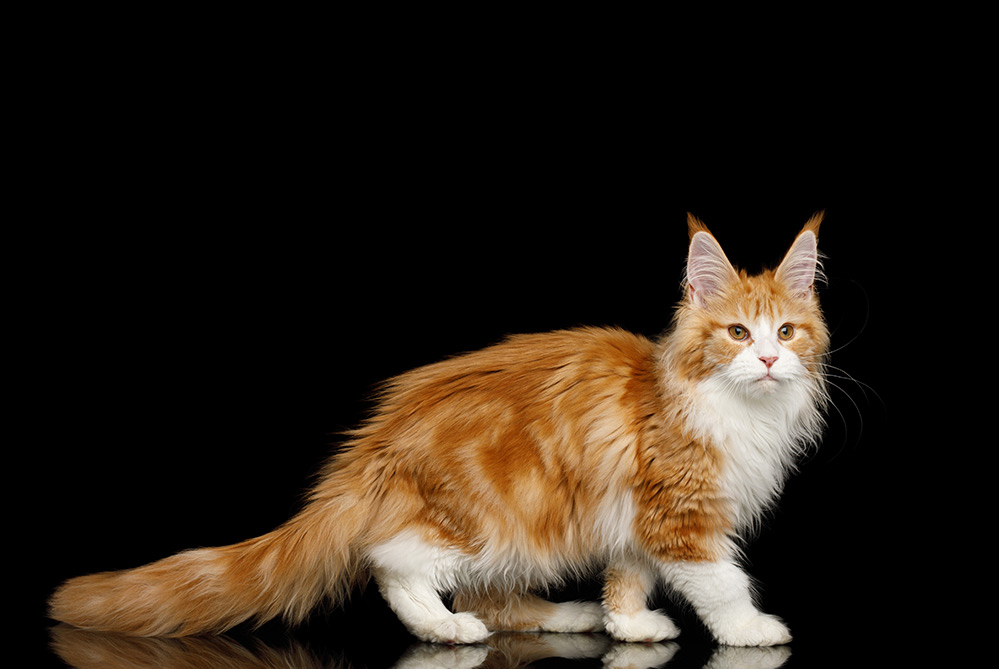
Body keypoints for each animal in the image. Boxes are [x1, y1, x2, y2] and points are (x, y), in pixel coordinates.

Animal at [48, 211, 828, 644]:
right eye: (736, 332)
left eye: (786, 332)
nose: (767, 358)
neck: (738, 408)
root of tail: (375, 444)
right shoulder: (679, 512)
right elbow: (721, 581)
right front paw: (752, 631)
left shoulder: (634, 514)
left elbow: (627, 577)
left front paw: (628, 627)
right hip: (492, 518)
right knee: (392, 563)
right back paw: (444, 627)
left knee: (494, 597)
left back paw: (567, 617)